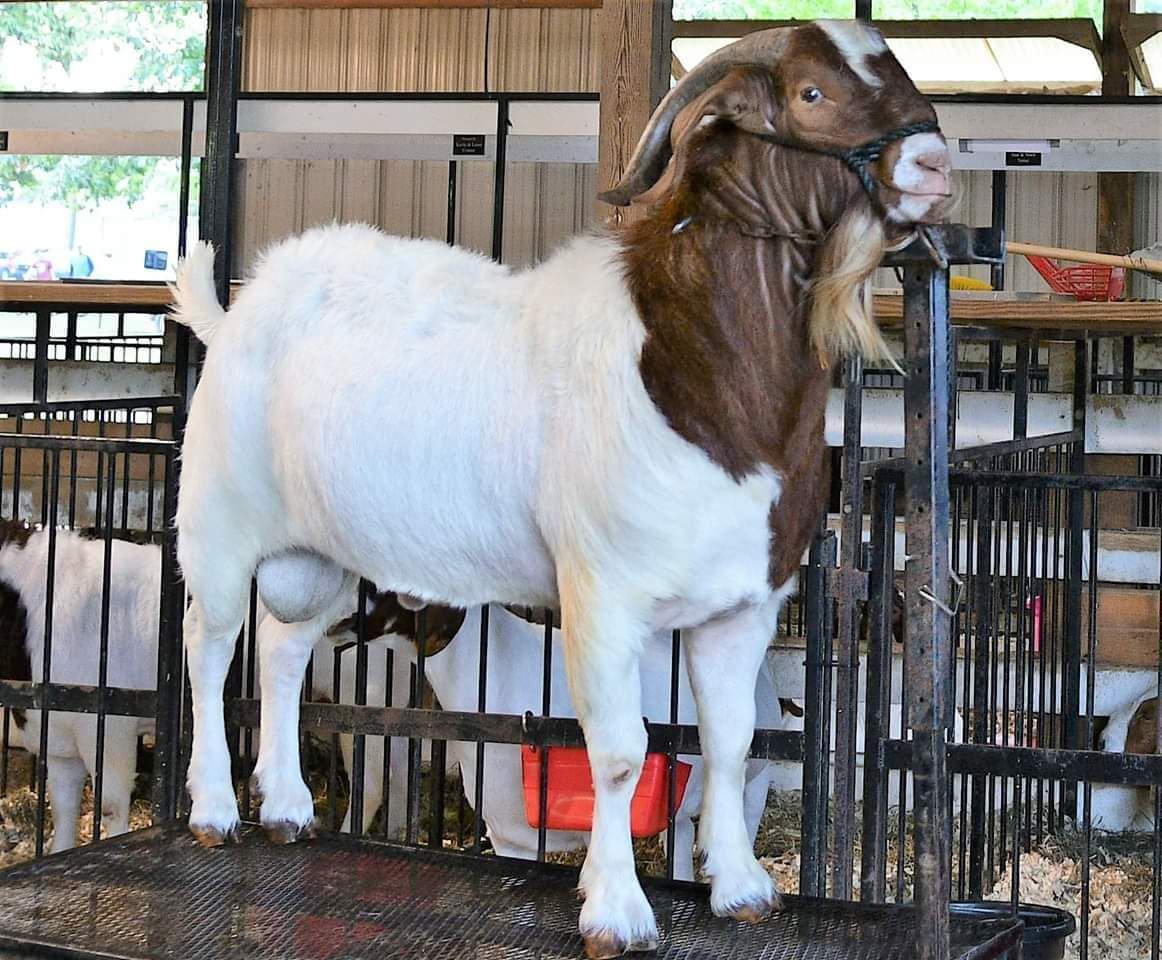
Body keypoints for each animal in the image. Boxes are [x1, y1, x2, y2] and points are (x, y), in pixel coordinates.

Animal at [172, 20, 950, 957]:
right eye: (810, 92)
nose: (936, 163)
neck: (693, 372)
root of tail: (235, 310)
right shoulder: (602, 595)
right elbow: (617, 752)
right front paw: (615, 911)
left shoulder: (746, 604)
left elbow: (729, 743)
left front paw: (740, 889)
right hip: (217, 523)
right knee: (211, 644)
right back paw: (215, 810)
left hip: (326, 553)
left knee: (284, 650)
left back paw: (289, 808)